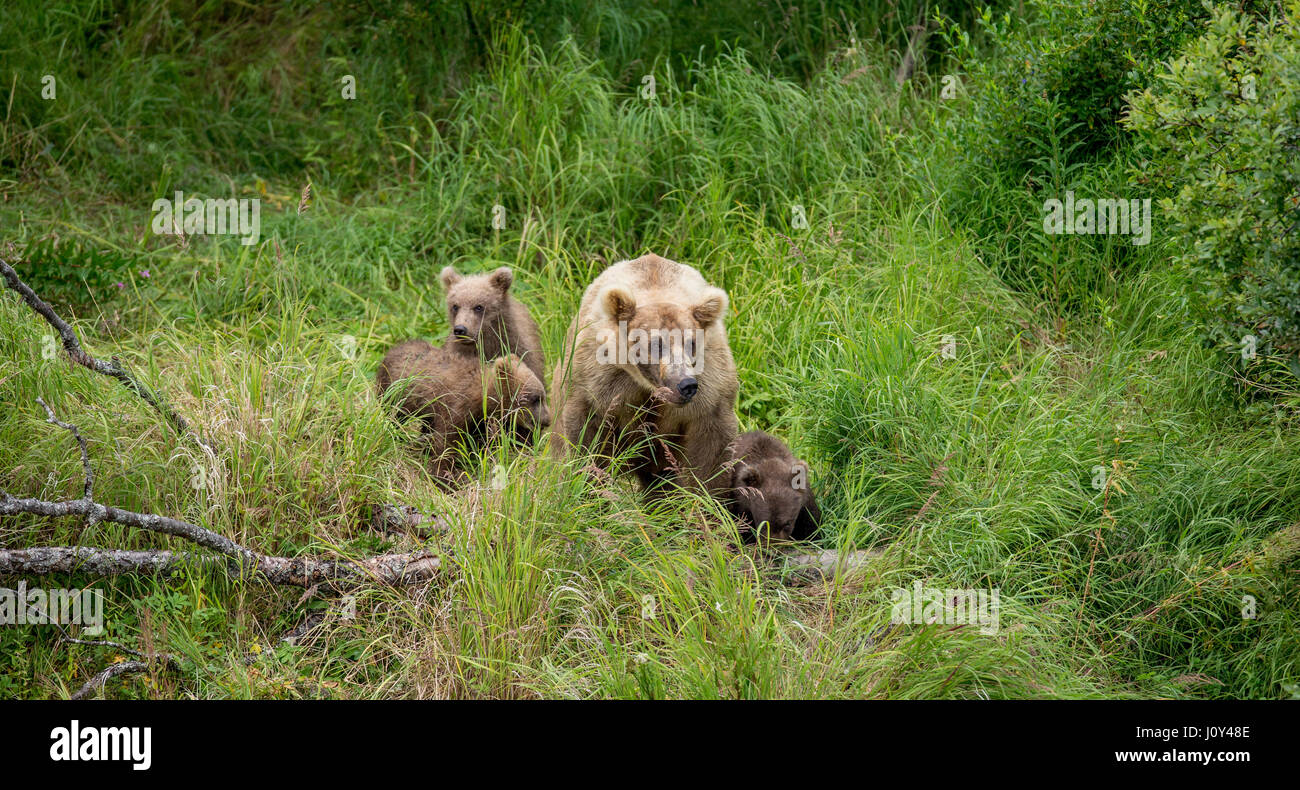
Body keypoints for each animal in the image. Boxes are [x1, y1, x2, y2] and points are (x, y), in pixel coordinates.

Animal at [377, 338, 549, 479]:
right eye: (535, 399)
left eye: (542, 396)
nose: (547, 420)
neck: (482, 400)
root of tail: (391, 351)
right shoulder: (456, 406)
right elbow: (446, 441)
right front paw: (445, 475)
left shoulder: (480, 421)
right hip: (394, 395)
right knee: (394, 419)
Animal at [550, 253, 738, 497]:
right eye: (655, 344)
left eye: (691, 343)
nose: (685, 384)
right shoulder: (599, 379)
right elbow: (587, 441)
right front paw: (592, 491)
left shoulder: (710, 382)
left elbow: (712, 451)